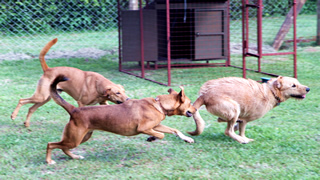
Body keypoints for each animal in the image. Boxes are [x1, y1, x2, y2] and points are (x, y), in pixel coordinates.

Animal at [46, 75, 196, 165]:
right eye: (190, 102)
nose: (195, 110)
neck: (159, 104)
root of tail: (74, 110)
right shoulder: (144, 128)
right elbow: (162, 135)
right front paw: (152, 138)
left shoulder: (156, 125)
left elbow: (174, 130)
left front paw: (187, 139)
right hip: (74, 138)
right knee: (51, 144)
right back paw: (49, 161)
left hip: (82, 137)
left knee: (64, 148)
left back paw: (75, 157)